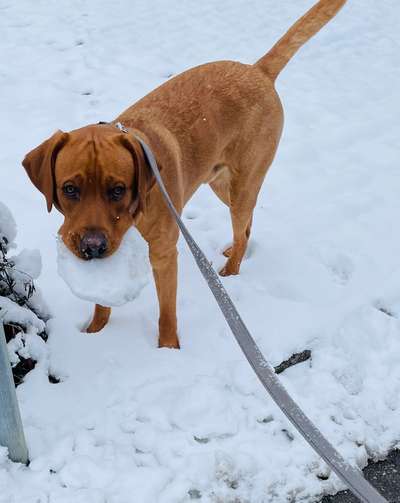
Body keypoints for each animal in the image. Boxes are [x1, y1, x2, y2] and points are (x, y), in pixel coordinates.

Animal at [22, 0, 346, 348]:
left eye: (118, 189)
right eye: (69, 189)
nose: (91, 248)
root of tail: (257, 70)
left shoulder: (164, 255)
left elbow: (167, 312)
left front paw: (167, 348)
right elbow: (101, 301)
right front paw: (96, 331)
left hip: (243, 182)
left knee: (242, 228)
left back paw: (230, 272)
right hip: (222, 183)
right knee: (246, 226)